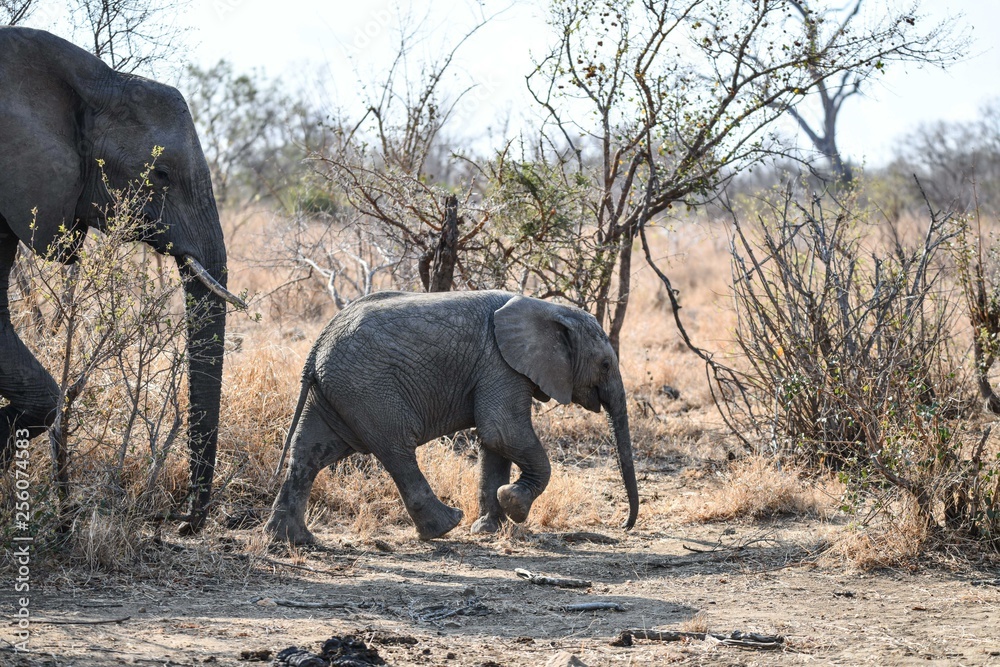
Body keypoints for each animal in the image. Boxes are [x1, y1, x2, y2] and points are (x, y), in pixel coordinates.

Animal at [266, 290, 639, 544]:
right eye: (606, 364)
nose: (624, 525)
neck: (549, 310)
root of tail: (318, 345)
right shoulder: (500, 364)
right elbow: (500, 431)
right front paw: (514, 504)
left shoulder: (499, 369)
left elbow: (494, 445)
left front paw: (489, 528)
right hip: (368, 388)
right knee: (397, 450)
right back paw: (445, 526)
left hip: (335, 392)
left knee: (309, 453)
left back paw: (292, 539)